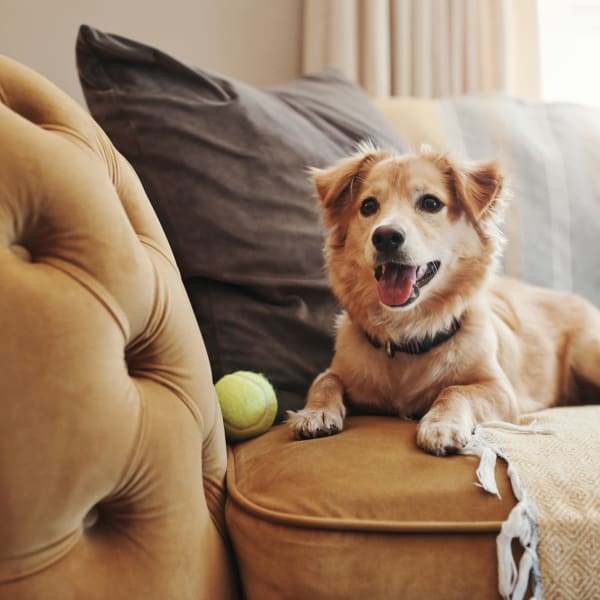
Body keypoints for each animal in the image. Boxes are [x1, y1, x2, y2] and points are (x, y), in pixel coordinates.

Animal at [286, 145, 600, 454]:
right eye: (368, 206)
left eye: (431, 203)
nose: (385, 236)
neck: (407, 336)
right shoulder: (343, 372)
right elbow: (325, 379)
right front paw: (314, 413)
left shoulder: (500, 390)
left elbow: (454, 390)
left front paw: (441, 425)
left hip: (587, 354)